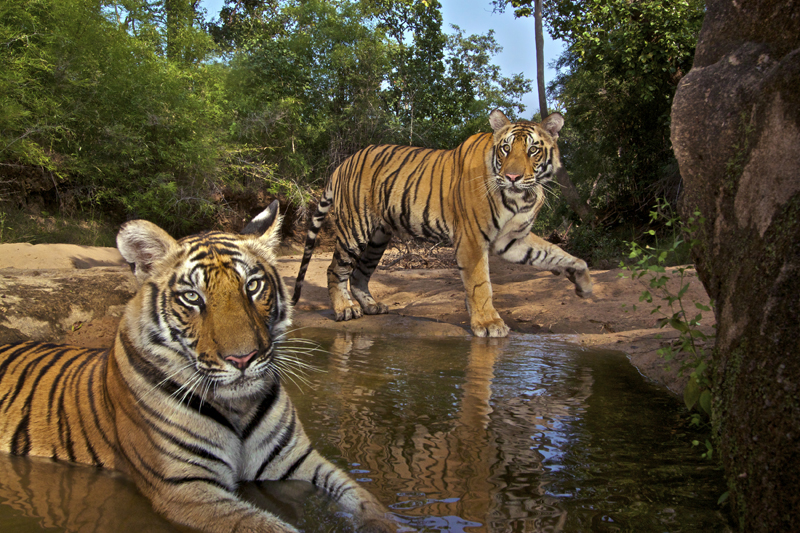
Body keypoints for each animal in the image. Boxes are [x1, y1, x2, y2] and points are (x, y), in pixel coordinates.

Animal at [0, 201, 396, 532]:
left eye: (253, 286)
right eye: (192, 297)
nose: (242, 358)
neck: (238, 407)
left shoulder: (295, 459)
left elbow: (365, 499)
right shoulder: (186, 487)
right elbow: (267, 527)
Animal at [294, 108, 592, 336]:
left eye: (533, 151)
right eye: (506, 149)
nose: (512, 177)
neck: (521, 197)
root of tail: (343, 163)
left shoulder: (513, 239)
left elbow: (556, 253)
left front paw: (583, 282)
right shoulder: (472, 239)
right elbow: (480, 284)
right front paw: (489, 323)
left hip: (378, 238)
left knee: (359, 273)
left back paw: (371, 306)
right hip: (355, 229)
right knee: (335, 269)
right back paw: (345, 309)